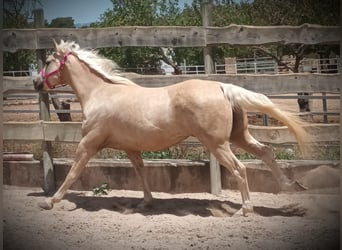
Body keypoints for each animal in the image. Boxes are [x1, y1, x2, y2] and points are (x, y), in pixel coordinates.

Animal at [34, 40, 310, 216]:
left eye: (47, 61)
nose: (36, 83)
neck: (99, 94)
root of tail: (223, 87)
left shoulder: (89, 143)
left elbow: (72, 172)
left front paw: (50, 201)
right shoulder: (131, 148)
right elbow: (141, 172)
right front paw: (146, 203)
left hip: (218, 144)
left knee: (240, 168)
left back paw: (246, 209)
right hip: (238, 136)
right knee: (266, 152)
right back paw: (290, 187)